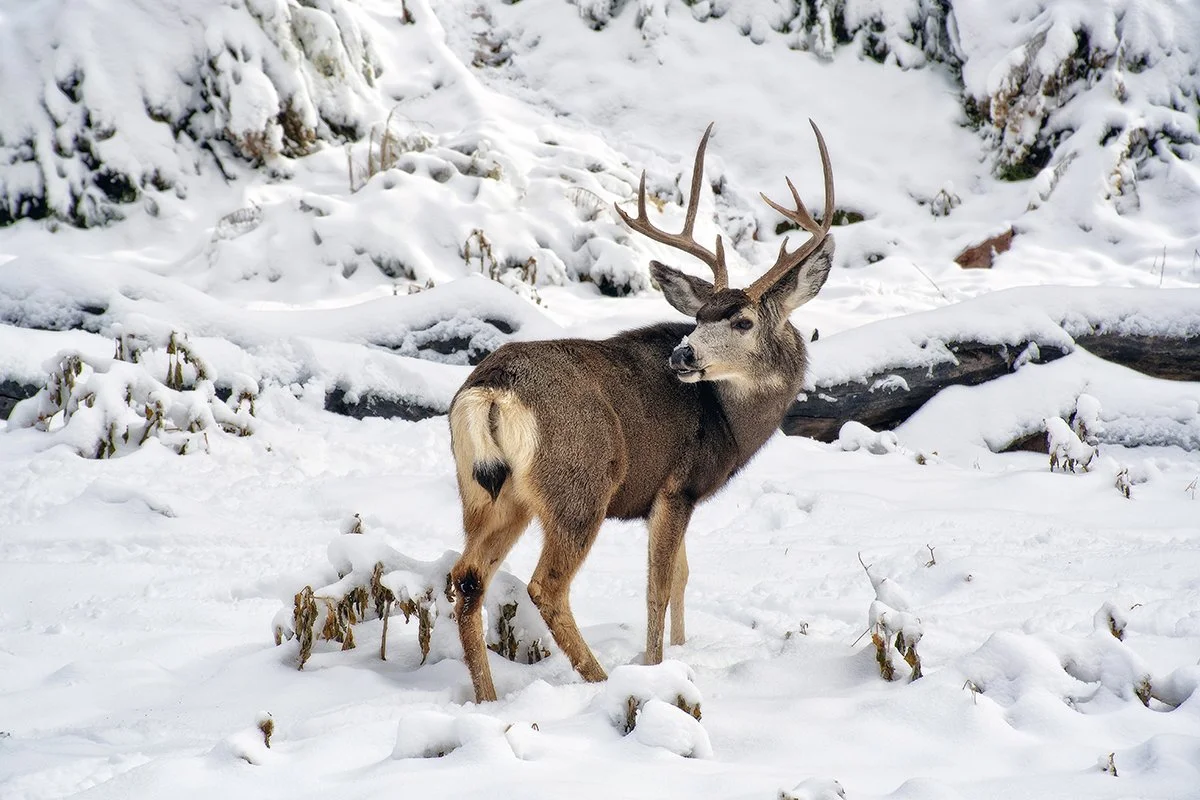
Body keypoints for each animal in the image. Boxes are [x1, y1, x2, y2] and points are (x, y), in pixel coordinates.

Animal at [448, 120, 835, 703]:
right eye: (699, 317)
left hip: (488, 492)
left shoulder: (677, 496)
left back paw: (488, 699)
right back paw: (599, 679)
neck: (729, 421)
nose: (684, 354)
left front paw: (680, 649)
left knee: (468, 577)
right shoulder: (678, 484)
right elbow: (659, 584)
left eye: (741, 320)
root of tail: (493, 390)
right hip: (580, 482)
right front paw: (656, 666)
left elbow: (682, 575)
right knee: (546, 585)